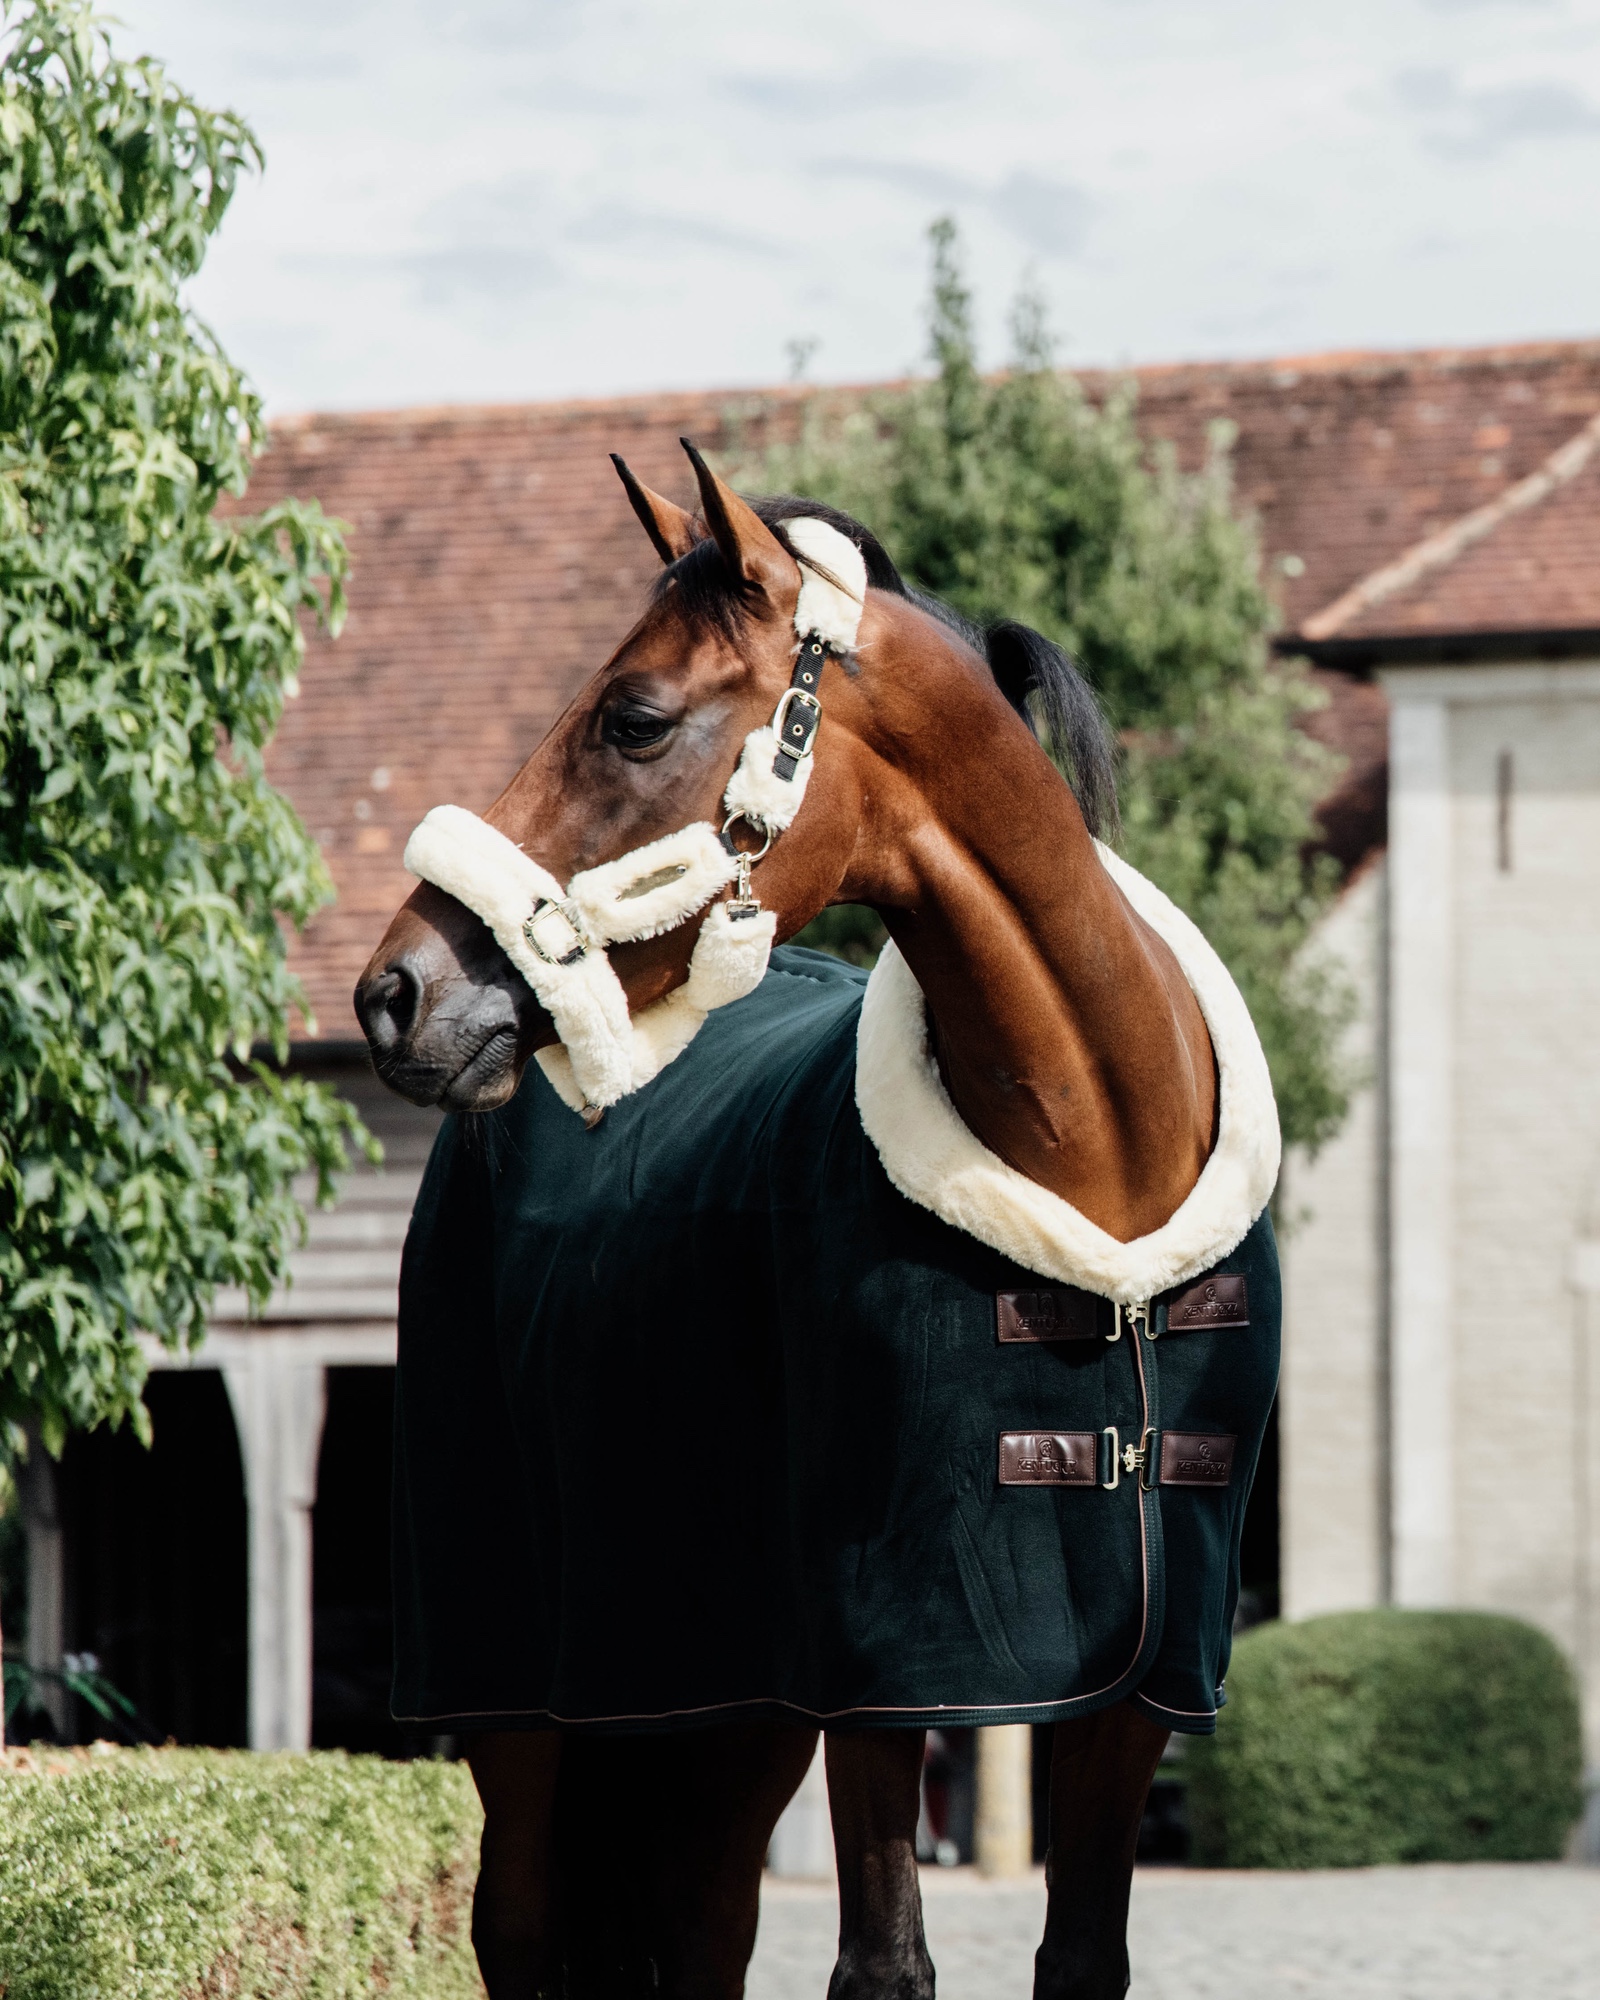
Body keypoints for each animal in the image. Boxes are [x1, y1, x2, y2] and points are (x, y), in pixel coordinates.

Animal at [356, 442, 1280, 2000]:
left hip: (722, 1710)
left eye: (632, 715)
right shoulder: (877, 1682)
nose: (394, 993)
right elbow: (883, 1964)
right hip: (519, 1698)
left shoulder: (1136, 1689)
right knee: (524, 1931)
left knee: (698, 1931)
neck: (1104, 1204)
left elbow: (1079, 1955)